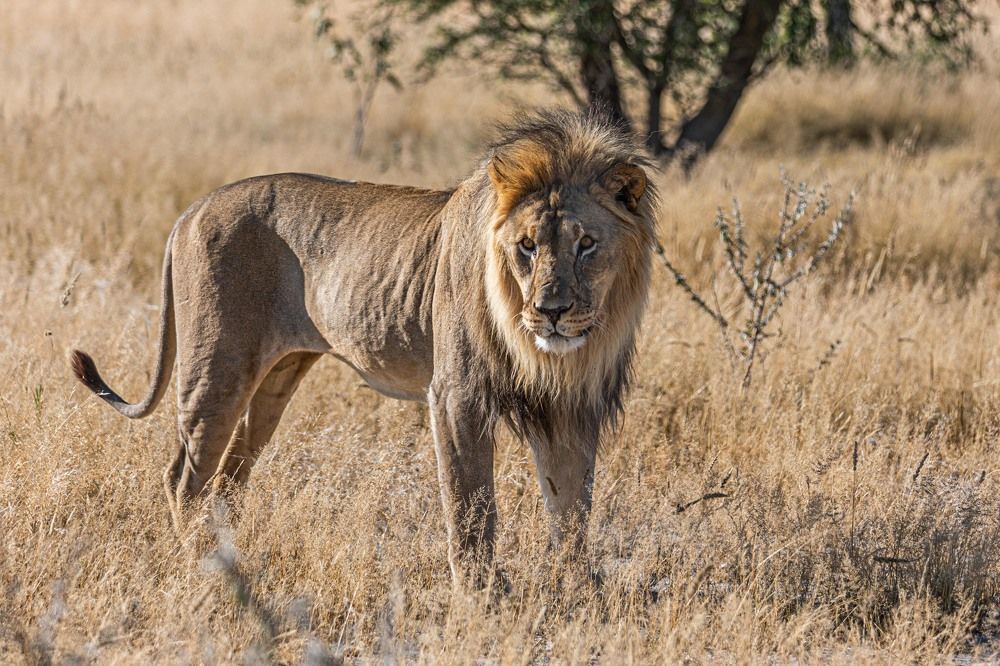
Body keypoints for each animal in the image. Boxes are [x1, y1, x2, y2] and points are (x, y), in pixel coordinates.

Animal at [71, 108, 658, 586]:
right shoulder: (456, 397)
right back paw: (203, 567)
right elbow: (471, 507)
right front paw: (482, 596)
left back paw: (232, 559)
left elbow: (572, 509)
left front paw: (577, 590)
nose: (551, 311)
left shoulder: (572, 407)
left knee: (228, 480)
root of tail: (194, 208)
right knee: (184, 479)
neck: (550, 355)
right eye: (527, 246)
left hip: (277, 377)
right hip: (216, 368)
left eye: (587, 244)